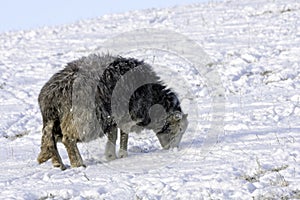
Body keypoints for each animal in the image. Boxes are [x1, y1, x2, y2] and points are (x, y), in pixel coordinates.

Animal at [37, 54, 188, 170]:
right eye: (179, 129)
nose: (173, 149)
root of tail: (51, 95)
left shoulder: (111, 117)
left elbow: (113, 135)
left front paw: (111, 156)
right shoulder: (126, 116)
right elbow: (123, 135)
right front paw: (122, 155)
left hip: (58, 120)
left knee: (52, 140)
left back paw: (59, 164)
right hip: (82, 118)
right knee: (67, 139)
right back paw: (78, 164)